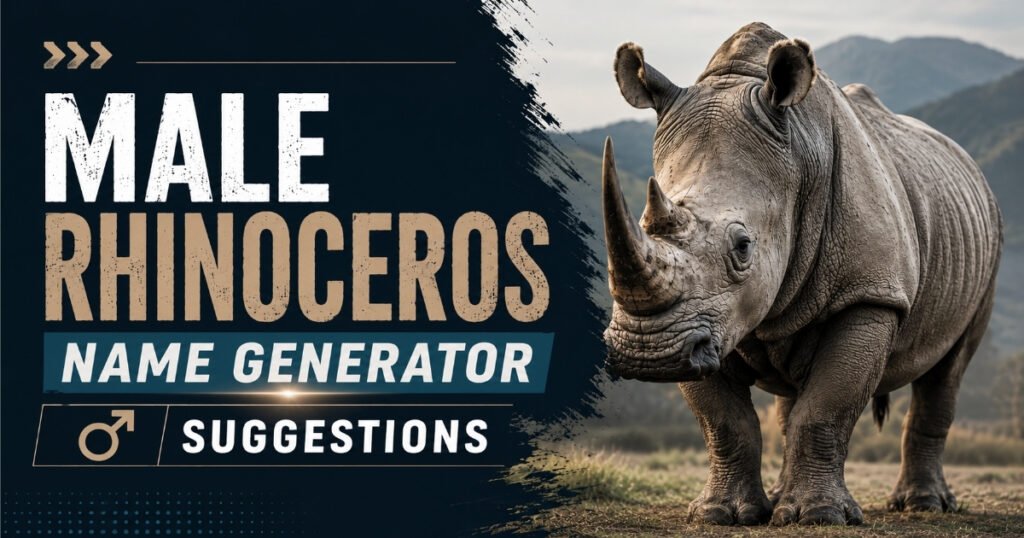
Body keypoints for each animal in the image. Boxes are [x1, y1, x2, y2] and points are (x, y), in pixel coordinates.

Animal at [601, 22, 1003, 526]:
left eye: (743, 246)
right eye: (643, 225)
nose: (647, 350)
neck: (799, 162)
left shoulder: (869, 292)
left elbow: (827, 407)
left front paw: (821, 516)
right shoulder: (697, 326)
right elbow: (724, 421)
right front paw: (720, 514)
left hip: (988, 239)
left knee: (947, 371)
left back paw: (923, 505)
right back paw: (779, 500)